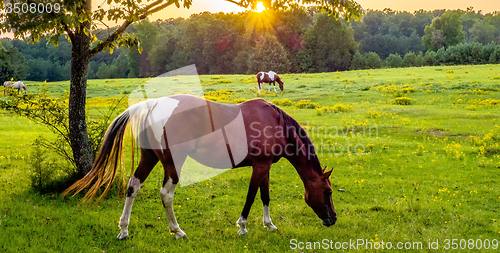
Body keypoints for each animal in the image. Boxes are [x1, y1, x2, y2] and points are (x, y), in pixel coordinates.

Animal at [63, 94, 336, 239]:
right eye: (328, 191)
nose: (332, 218)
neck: (273, 123)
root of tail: (155, 104)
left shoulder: (264, 166)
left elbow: (265, 196)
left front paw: (269, 224)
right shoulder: (259, 167)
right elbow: (251, 196)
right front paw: (242, 226)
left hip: (149, 158)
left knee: (132, 187)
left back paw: (124, 229)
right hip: (172, 164)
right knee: (166, 194)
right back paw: (177, 231)